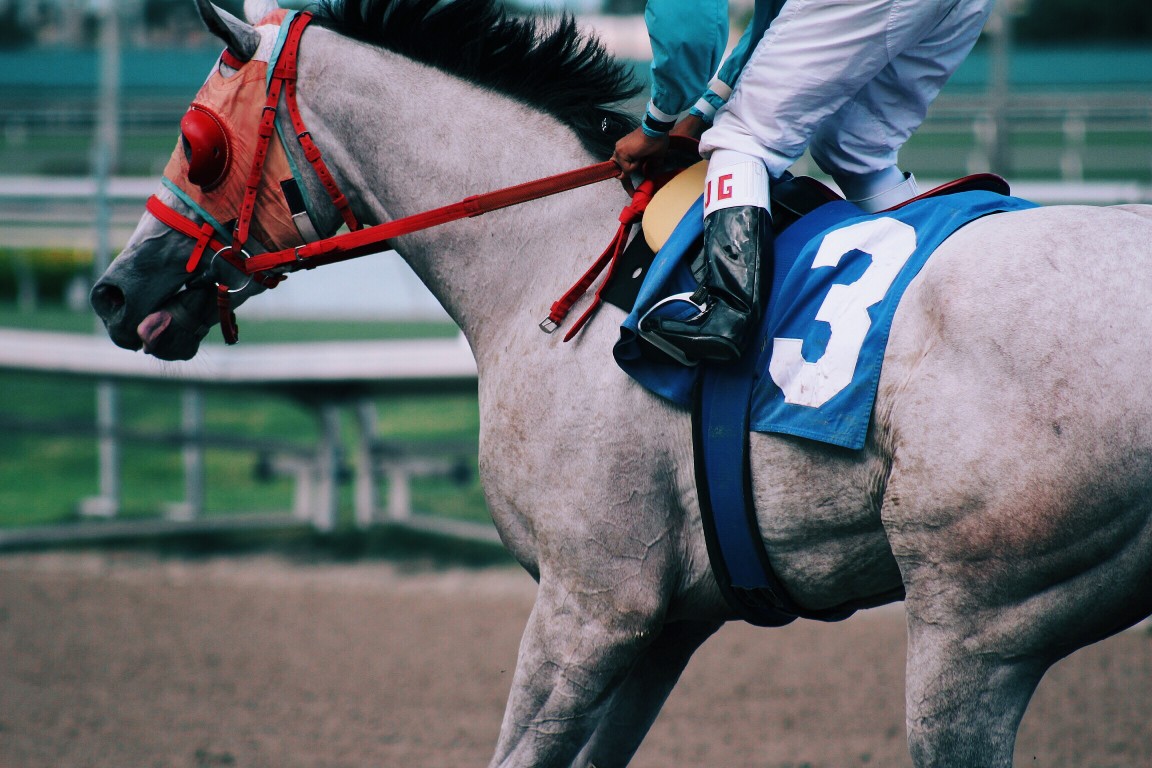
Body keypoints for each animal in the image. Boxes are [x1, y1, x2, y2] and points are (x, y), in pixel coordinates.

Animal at [87, 1, 1152, 764]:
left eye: (197, 142)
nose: (112, 290)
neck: (546, 253)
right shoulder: (669, 624)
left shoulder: (593, 605)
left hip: (974, 624)